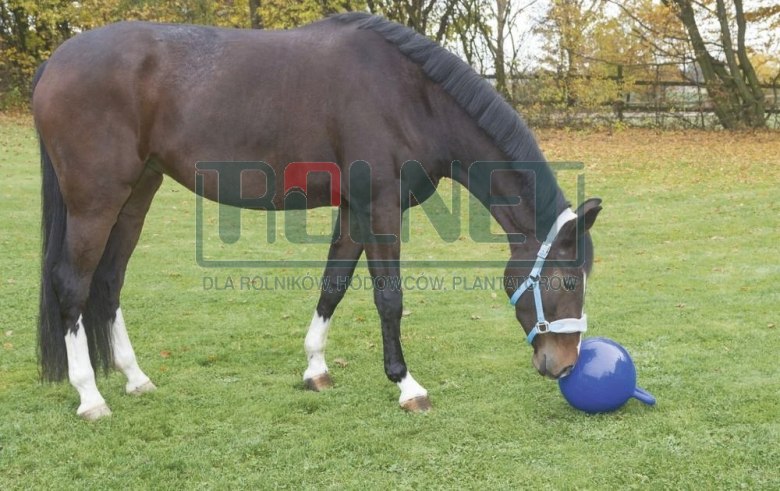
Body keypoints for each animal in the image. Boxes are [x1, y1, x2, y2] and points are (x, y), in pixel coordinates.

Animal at [32, 12, 602, 420]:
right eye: (568, 280)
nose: (564, 364)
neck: (410, 97)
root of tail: (56, 61)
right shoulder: (379, 207)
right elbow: (389, 299)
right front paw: (407, 385)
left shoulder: (354, 210)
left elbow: (334, 284)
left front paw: (315, 369)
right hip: (95, 199)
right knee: (72, 284)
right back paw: (90, 397)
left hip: (136, 195)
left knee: (108, 281)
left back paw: (135, 378)